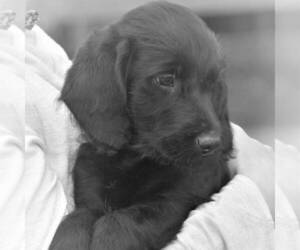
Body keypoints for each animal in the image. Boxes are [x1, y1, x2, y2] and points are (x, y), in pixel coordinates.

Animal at [49, 0, 233, 249]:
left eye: (214, 83)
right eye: (166, 80)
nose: (211, 144)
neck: (133, 157)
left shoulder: (179, 199)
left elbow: (120, 222)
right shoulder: (89, 193)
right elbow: (76, 218)